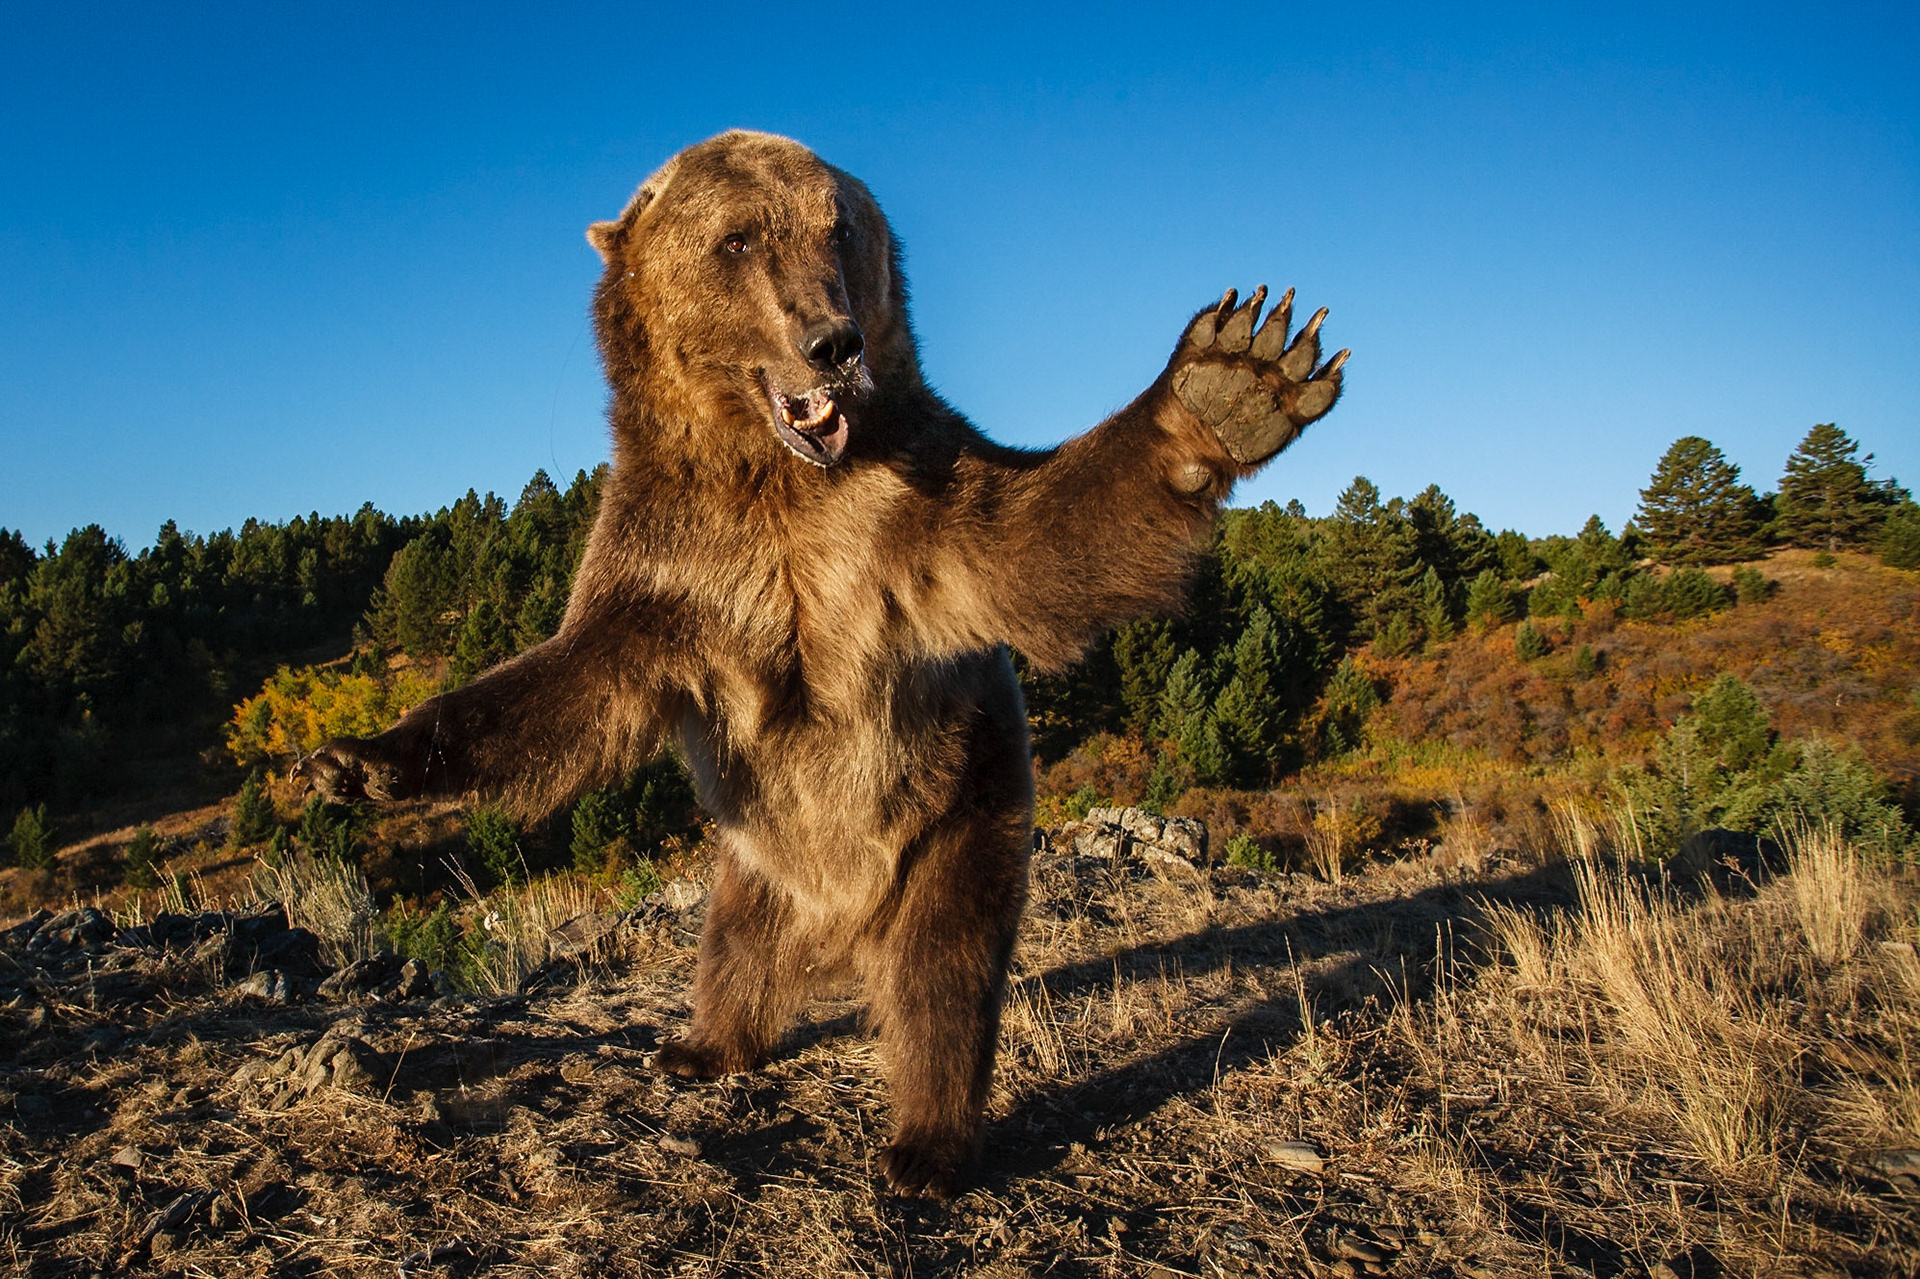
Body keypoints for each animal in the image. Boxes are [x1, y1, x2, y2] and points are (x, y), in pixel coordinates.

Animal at [294, 129, 1346, 1197]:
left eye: (841, 230)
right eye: (737, 239)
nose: (833, 342)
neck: (777, 478)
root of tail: (843, 923)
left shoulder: (909, 518)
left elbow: (1045, 538)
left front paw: (1233, 377)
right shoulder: (670, 565)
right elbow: (568, 689)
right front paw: (359, 761)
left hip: (956, 813)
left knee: (943, 978)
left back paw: (925, 1144)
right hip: (756, 862)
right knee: (733, 948)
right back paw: (702, 1044)